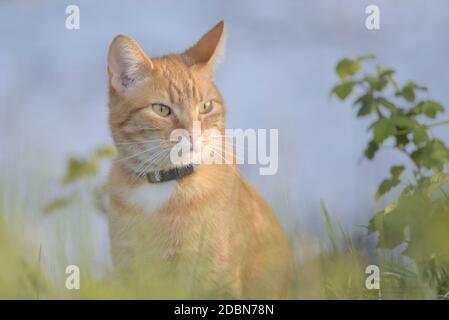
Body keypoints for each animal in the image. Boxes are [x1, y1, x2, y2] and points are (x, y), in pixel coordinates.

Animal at [107, 20, 292, 300]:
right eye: (161, 109)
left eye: (205, 107)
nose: (193, 134)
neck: (162, 186)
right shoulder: (129, 271)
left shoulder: (213, 277)